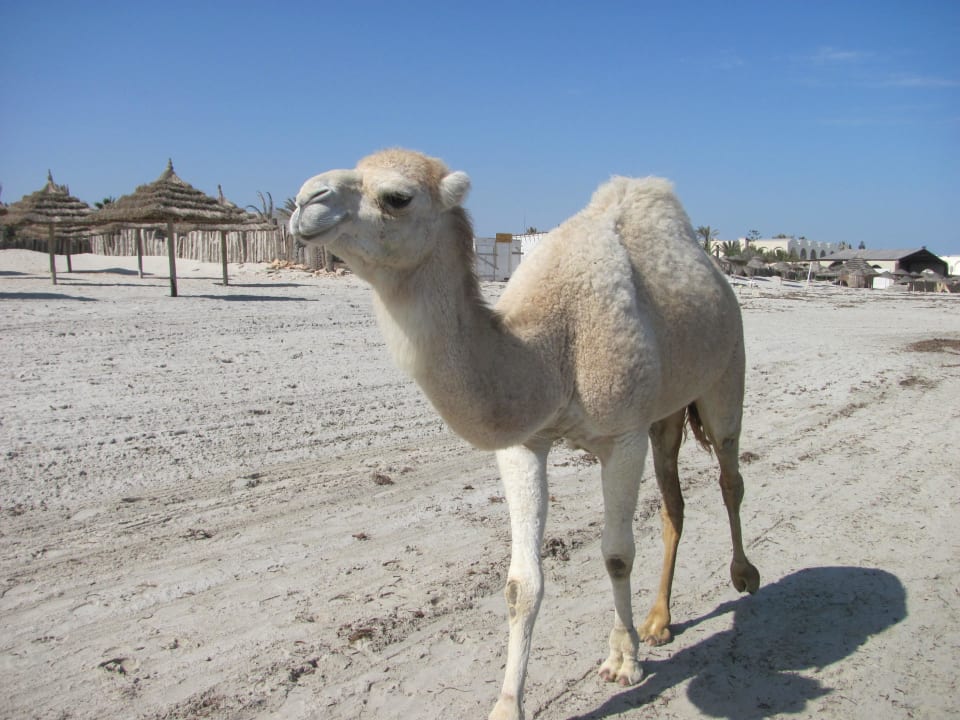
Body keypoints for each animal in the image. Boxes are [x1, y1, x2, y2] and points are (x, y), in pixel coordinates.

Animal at [290, 149, 760, 720]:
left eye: (397, 197)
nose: (305, 201)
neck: (551, 349)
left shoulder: (622, 435)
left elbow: (617, 554)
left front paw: (622, 660)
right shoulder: (523, 444)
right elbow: (522, 583)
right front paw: (508, 702)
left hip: (725, 374)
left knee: (730, 476)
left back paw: (744, 576)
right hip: (666, 412)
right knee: (675, 502)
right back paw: (658, 621)